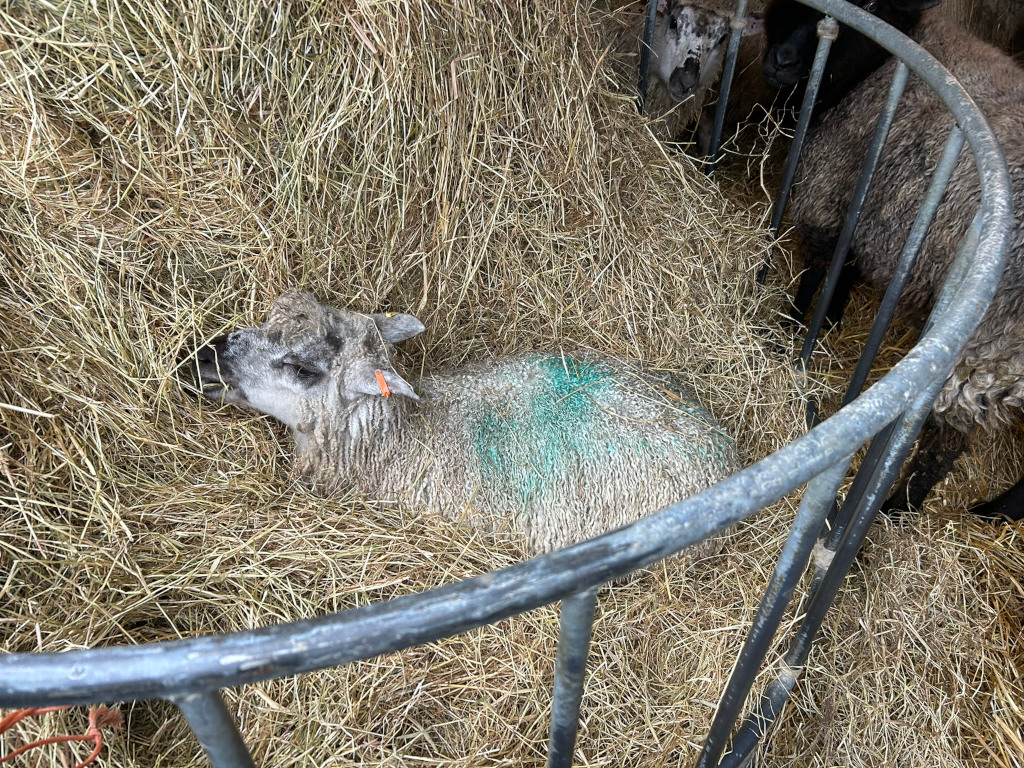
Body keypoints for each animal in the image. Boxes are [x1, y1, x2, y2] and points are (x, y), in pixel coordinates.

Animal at [761, 0, 1024, 520]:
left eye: (871, 8)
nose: (780, 60)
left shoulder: (830, 190)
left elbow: (818, 270)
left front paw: (791, 327)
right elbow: (843, 271)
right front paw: (832, 318)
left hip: (981, 350)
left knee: (946, 442)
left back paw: (898, 505)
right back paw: (997, 510)